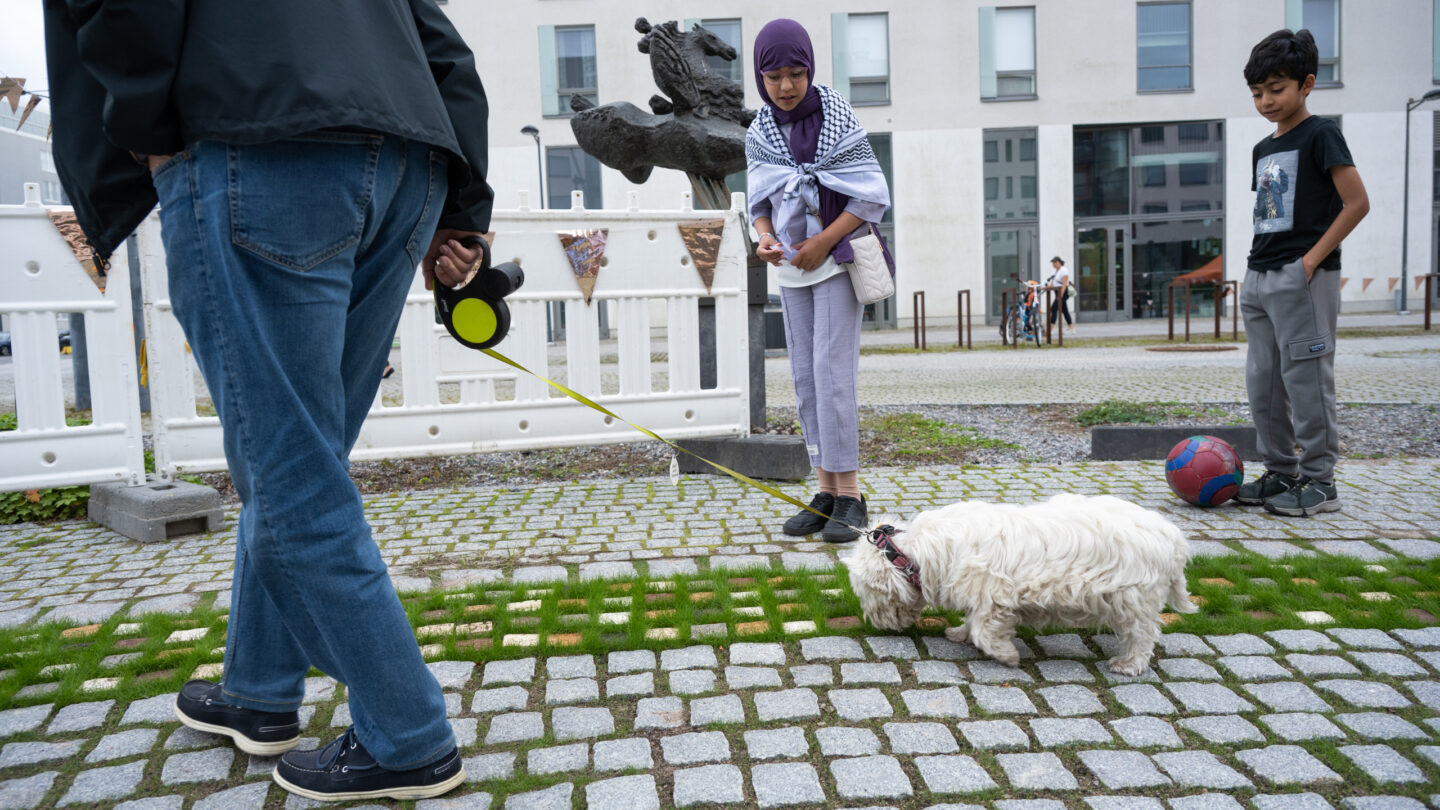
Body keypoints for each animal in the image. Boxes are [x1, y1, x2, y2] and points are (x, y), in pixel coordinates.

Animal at [840, 492, 1192, 674]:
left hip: (1133, 599)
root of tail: (1173, 537)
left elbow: (985, 629)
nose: (877, 625)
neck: (916, 552)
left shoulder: (993, 594)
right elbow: (973, 621)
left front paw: (1006, 655)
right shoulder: (979, 594)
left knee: (1142, 635)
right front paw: (960, 634)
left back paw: (1128, 663)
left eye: (866, 594)